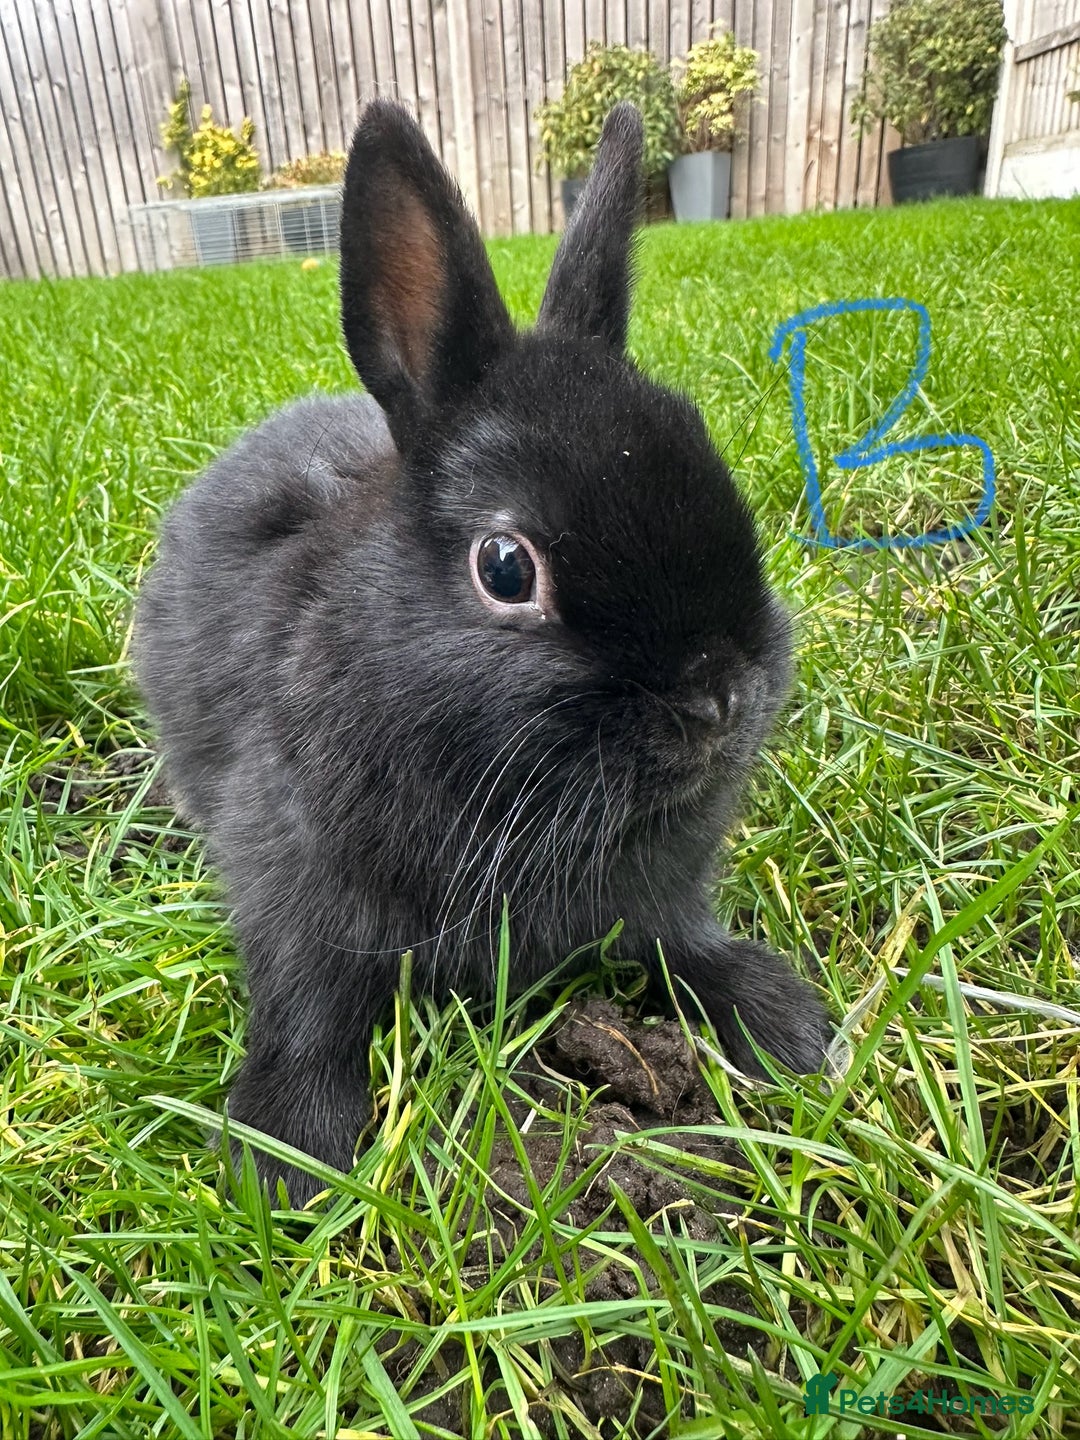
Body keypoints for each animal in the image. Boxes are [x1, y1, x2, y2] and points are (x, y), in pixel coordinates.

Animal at [134, 99, 832, 1206]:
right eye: (506, 568)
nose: (720, 697)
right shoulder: (299, 891)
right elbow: (309, 1015)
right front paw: (285, 1161)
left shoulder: (656, 896)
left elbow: (682, 943)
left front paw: (784, 1023)